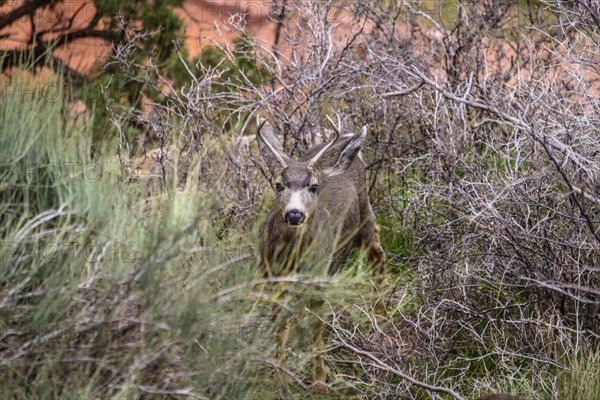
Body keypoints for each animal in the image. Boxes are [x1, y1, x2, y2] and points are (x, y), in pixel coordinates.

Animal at [256, 117, 386, 392]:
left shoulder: (321, 276)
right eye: (278, 185)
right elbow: (278, 324)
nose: (295, 214)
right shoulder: (271, 279)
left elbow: (317, 325)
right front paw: (280, 378)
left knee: (378, 252)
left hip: (364, 219)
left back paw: (381, 315)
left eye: (313, 186)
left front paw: (319, 381)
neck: (293, 260)